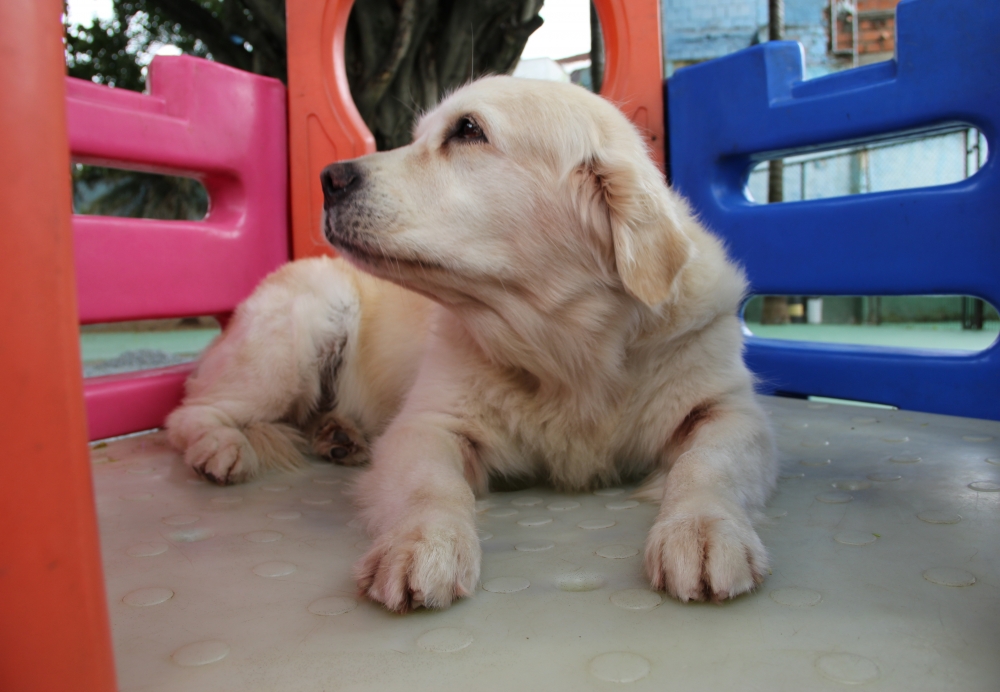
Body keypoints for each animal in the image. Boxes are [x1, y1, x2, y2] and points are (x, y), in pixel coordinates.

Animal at [166, 75, 772, 612]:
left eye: (468, 130)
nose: (328, 178)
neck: (568, 348)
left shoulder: (726, 408)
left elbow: (707, 463)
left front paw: (704, 529)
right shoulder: (429, 424)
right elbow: (433, 487)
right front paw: (422, 544)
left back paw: (338, 435)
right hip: (304, 329)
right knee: (190, 411)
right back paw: (221, 447)